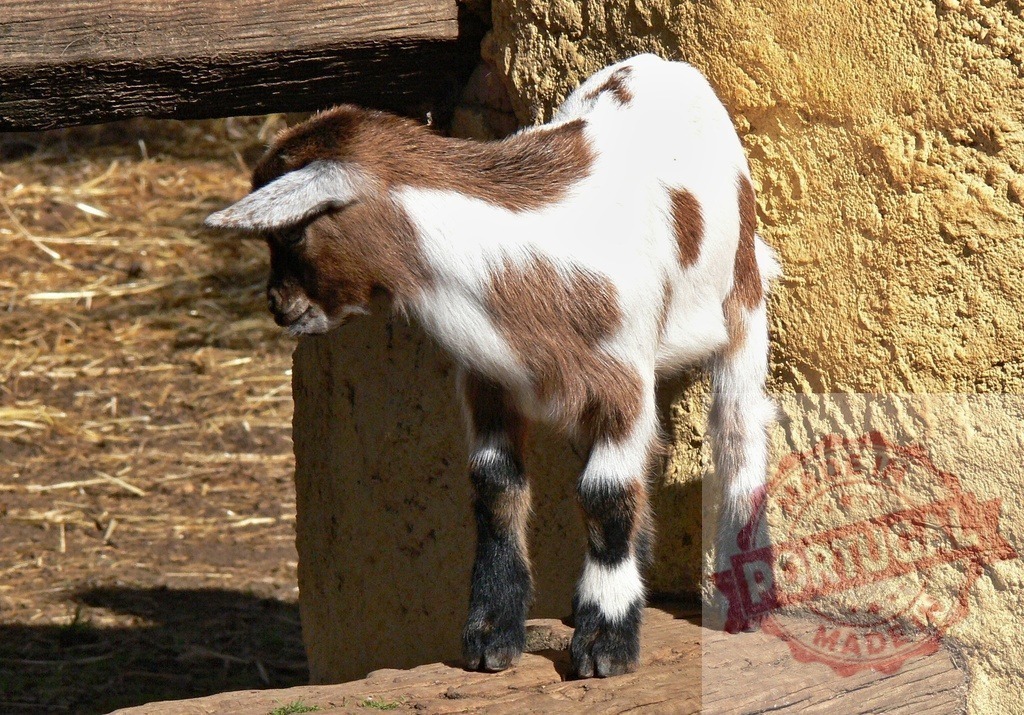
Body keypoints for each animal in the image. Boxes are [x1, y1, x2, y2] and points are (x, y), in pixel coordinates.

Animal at [206, 53, 780, 678]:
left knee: (738, 427)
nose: (279, 306)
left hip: (742, 290)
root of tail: (661, 63)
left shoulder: (623, 381)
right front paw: (492, 634)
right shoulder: (491, 382)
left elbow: (604, 493)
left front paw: (606, 643)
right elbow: (494, 487)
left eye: (293, 231)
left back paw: (748, 598)